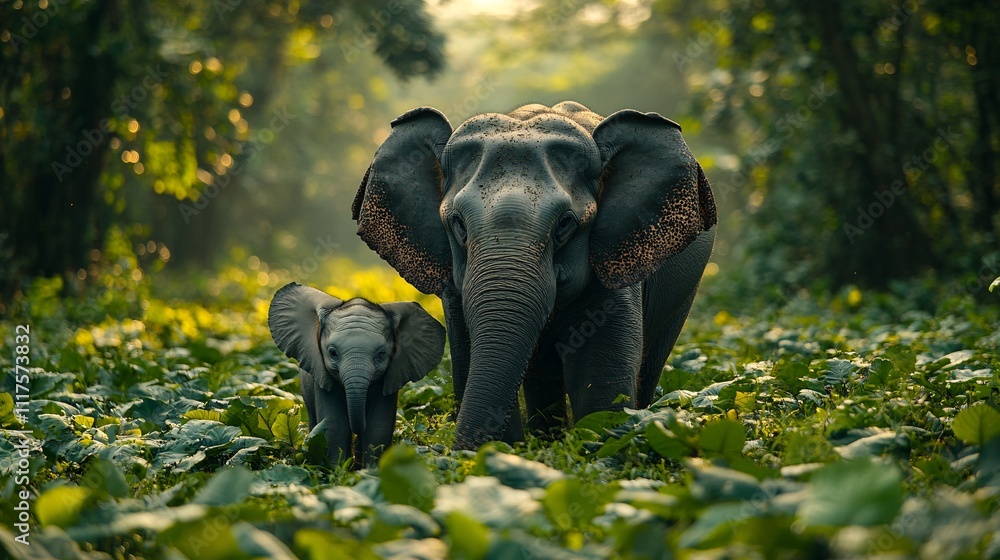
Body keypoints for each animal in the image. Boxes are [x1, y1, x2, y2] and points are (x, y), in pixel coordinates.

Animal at [268, 282, 445, 465]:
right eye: (332, 353)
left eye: (381, 355)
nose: (354, 463)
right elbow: (334, 424)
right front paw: (338, 468)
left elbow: (378, 426)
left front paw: (369, 469)